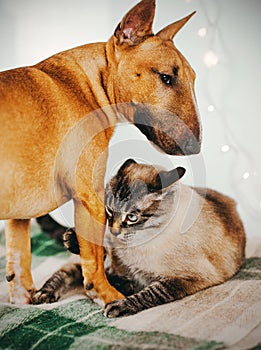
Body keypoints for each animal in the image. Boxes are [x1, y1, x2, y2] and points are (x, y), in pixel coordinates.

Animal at [0, 0, 200, 306]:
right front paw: (109, 297)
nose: (196, 147)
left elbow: (19, 264)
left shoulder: (19, 215)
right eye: (166, 77)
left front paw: (25, 301)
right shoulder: (91, 198)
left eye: (193, 79)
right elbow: (94, 259)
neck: (86, 86)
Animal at [32, 159, 244, 318]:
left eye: (132, 217)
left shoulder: (184, 279)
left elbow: (152, 293)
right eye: (109, 211)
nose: (114, 230)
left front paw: (120, 306)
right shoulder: (116, 255)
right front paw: (74, 238)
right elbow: (106, 258)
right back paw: (43, 292)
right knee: (70, 272)